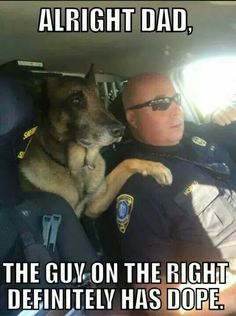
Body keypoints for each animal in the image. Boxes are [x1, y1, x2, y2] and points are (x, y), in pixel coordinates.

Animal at [18, 65, 173, 218]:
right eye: (75, 100)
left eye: (100, 99)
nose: (121, 130)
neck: (78, 167)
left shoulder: (95, 206)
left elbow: (126, 162)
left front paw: (156, 167)